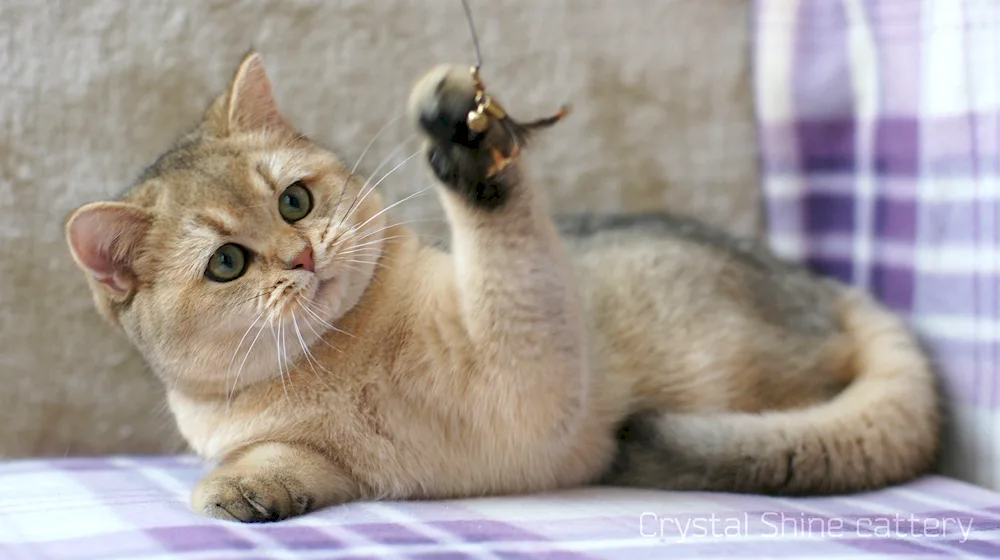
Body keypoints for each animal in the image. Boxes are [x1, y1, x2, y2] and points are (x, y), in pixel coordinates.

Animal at [66, 54, 940, 524]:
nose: (303, 257)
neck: (335, 361)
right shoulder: (332, 457)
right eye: (227, 264)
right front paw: (240, 490)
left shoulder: (531, 362)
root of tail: (829, 289)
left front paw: (471, 143)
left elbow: (505, 249)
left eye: (294, 201)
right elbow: (282, 457)